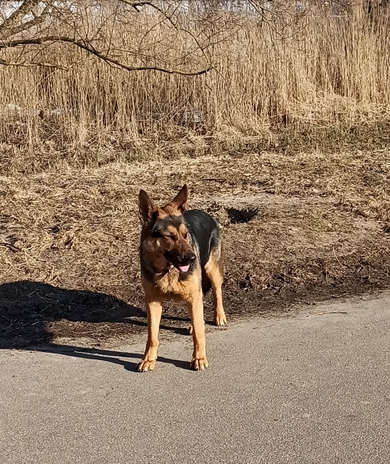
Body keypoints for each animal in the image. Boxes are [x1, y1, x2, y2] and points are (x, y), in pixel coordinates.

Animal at [139, 184, 227, 370]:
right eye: (169, 236)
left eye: (185, 234)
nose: (192, 258)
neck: (167, 270)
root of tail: (205, 213)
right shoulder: (152, 302)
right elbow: (152, 336)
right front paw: (148, 359)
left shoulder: (194, 295)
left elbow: (199, 335)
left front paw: (199, 359)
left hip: (212, 271)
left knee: (217, 292)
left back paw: (219, 316)